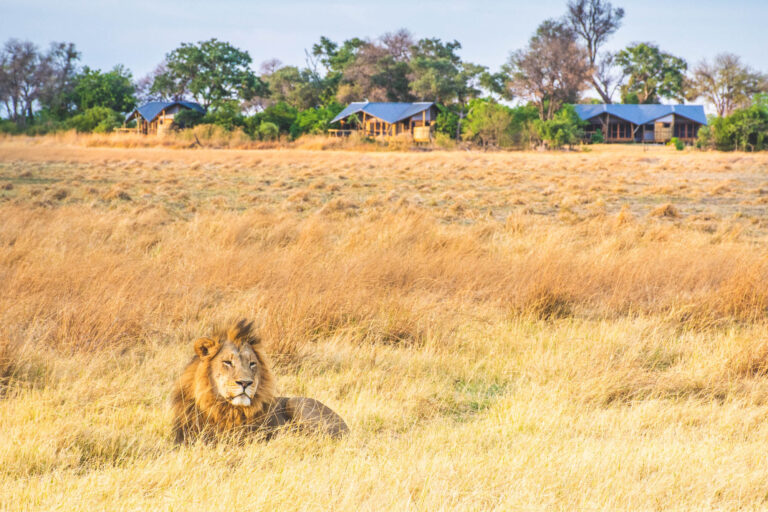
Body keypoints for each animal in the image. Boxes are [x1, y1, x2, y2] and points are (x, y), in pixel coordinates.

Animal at [171, 319, 348, 443]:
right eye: (227, 362)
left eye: (252, 363)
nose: (245, 383)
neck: (224, 409)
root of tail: (347, 427)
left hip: (296, 402)